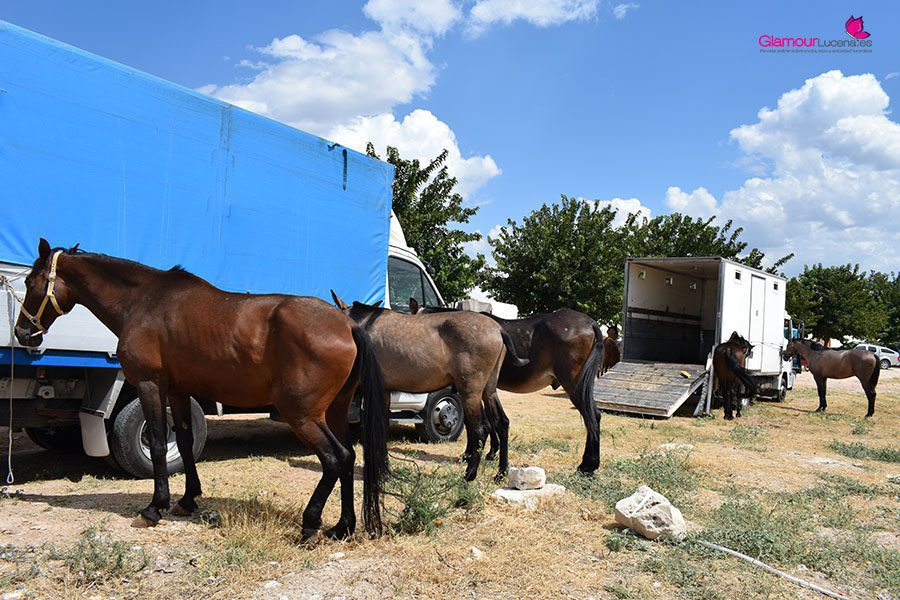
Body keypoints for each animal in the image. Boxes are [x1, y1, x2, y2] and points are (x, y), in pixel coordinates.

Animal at [14, 239, 389, 540]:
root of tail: (347, 325)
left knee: (335, 458)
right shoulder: (178, 391)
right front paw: (187, 499)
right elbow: (182, 442)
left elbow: (157, 441)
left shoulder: (150, 385)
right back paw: (343, 527)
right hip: (335, 411)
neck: (144, 301)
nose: (22, 333)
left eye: (31, 282)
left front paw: (154, 507)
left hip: (302, 414)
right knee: (349, 456)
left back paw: (310, 523)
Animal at [333, 293, 528, 482]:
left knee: (481, 428)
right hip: (489, 390)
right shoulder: (385, 392)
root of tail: (498, 329)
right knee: (501, 423)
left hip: (470, 391)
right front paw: (385, 471)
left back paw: (470, 474)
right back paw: (501, 473)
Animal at [409, 299, 604, 475]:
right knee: (594, 416)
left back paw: (588, 466)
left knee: (591, 418)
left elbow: (474, 423)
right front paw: (490, 453)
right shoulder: (485, 390)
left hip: (574, 385)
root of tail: (591, 323)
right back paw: (588, 465)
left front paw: (471, 454)